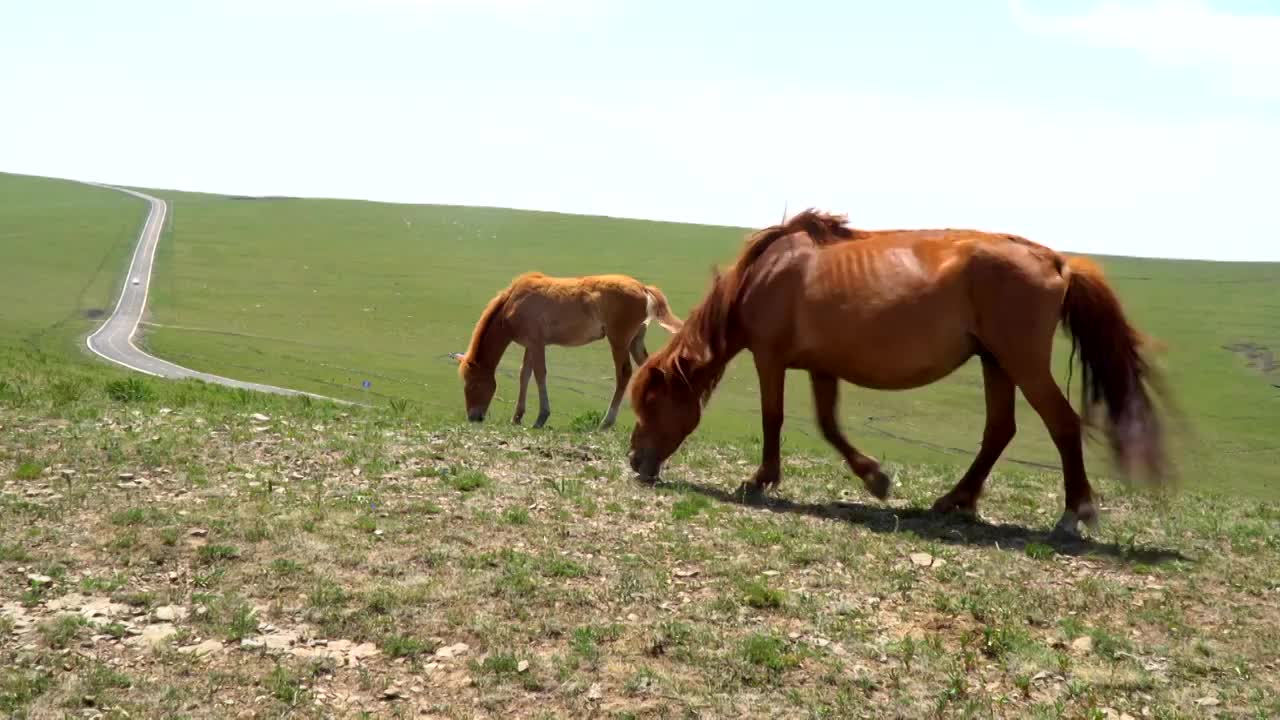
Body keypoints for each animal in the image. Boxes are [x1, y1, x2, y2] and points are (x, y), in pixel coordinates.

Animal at [458, 271, 686, 427]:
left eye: (472, 384)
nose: (473, 417)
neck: (513, 302)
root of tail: (643, 288)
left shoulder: (537, 344)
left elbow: (540, 375)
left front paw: (541, 417)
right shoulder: (531, 346)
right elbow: (525, 375)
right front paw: (517, 417)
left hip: (619, 340)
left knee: (624, 374)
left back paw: (606, 422)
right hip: (635, 341)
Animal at [622, 204, 1172, 535]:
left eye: (651, 401)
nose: (634, 461)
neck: (764, 276)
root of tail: (1057, 261)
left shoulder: (770, 359)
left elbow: (774, 419)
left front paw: (760, 480)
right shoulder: (822, 367)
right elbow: (829, 425)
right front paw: (875, 479)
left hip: (1021, 362)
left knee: (1061, 423)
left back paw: (1074, 513)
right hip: (996, 362)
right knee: (999, 430)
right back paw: (955, 500)